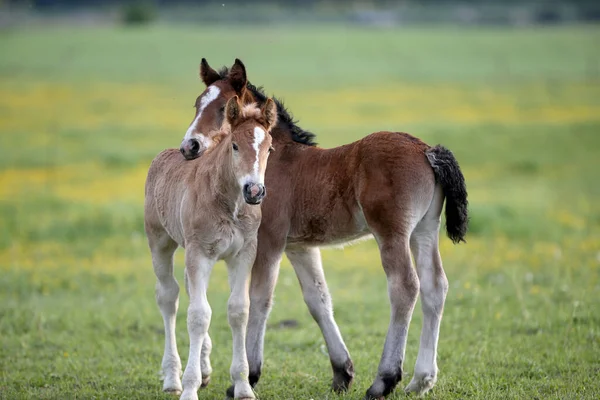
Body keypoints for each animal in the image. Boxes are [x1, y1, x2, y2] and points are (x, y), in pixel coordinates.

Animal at [178, 59, 468, 400]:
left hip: (392, 233)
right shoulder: (301, 246)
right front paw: (342, 372)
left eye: (224, 107)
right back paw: (420, 380)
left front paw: (249, 375)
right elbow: (318, 300)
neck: (274, 159)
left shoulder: (268, 240)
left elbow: (260, 299)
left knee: (405, 288)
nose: (190, 146)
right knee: (435, 286)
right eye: (197, 104)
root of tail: (426, 150)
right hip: (424, 231)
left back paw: (384, 380)